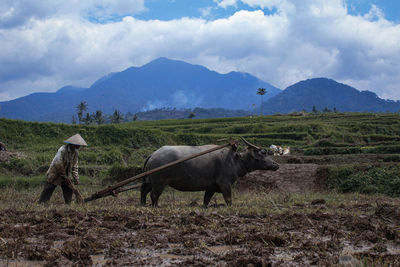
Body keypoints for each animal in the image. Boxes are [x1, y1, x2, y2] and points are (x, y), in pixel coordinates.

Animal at [141, 139, 278, 208]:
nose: (276, 165)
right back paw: (155, 206)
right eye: (263, 153)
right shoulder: (225, 183)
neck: (234, 160)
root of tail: (153, 154)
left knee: (144, 192)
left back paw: (143, 205)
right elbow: (228, 199)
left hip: (149, 181)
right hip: (159, 183)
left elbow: (206, 200)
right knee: (153, 195)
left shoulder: (210, 188)